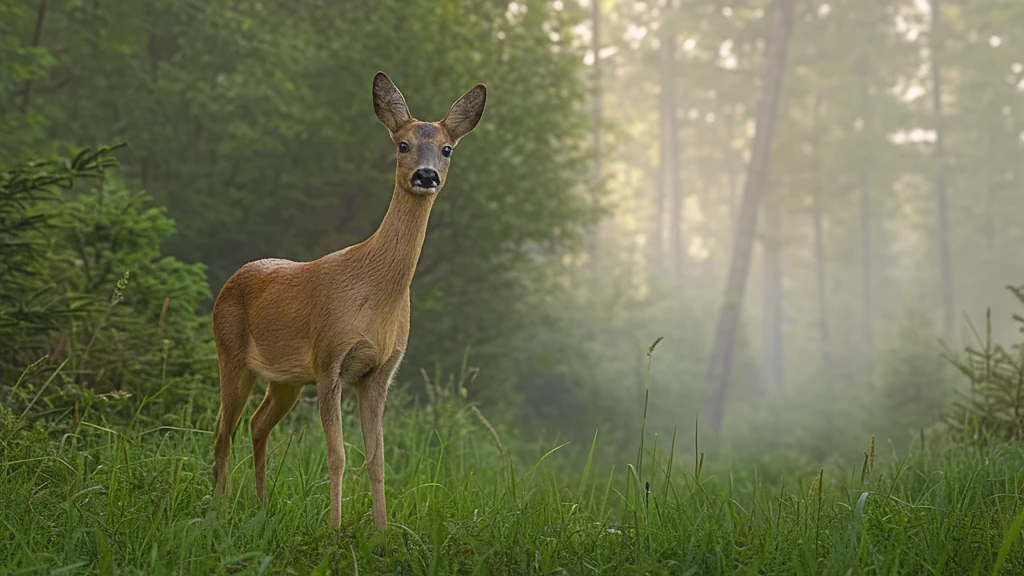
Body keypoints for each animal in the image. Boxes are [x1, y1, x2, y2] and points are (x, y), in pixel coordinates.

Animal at [211, 72, 486, 531]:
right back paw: (220, 509)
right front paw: (335, 528)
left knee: (256, 423)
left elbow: (376, 460)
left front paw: (381, 532)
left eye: (447, 148)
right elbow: (337, 455)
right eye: (403, 144)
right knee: (222, 432)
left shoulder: (380, 371)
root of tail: (230, 281)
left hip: (285, 379)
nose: (427, 175)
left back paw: (261, 505)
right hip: (230, 355)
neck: (375, 293)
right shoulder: (329, 360)